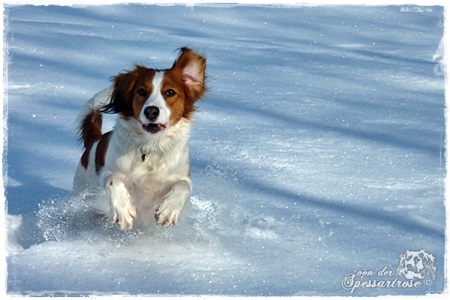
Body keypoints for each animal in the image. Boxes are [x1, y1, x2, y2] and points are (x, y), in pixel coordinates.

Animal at [73, 47, 207, 230]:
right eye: (141, 91)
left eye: (170, 92)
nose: (151, 111)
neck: (151, 146)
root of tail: (94, 140)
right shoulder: (109, 174)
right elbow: (113, 179)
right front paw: (123, 211)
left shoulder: (181, 176)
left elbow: (184, 185)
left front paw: (168, 210)